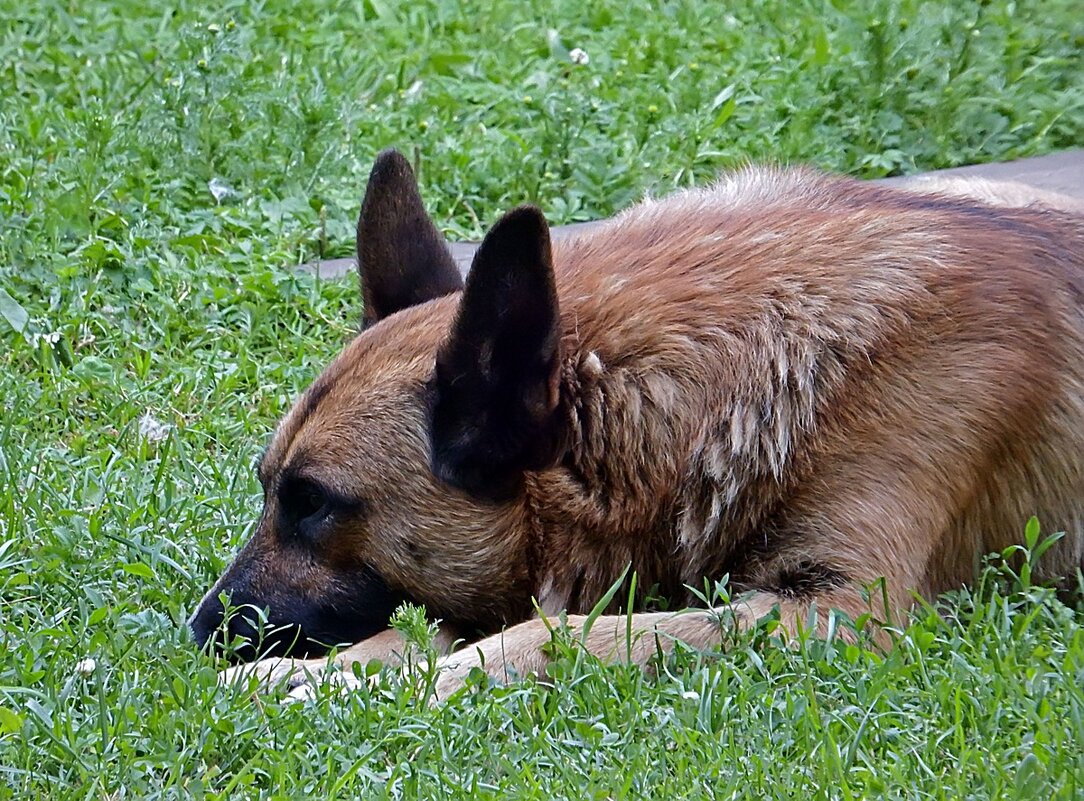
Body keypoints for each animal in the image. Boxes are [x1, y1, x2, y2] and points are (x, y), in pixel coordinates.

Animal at [190, 151, 1084, 702]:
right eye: (270, 488)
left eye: (313, 502)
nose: (197, 632)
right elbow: (428, 626)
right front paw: (338, 670)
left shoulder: (841, 610)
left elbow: (560, 632)